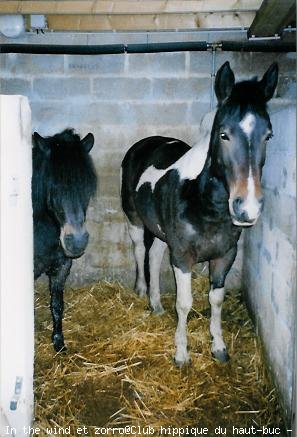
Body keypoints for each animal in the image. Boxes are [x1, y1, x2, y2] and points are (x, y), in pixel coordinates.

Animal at [32, 129, 97, 350]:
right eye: (54, 186)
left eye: (87, 186)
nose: (76, 241)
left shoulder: (62, 267)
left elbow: (57, 305)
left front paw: (58, 342)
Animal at [120, 61, 278, 364]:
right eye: (224, 134)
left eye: (268, 135)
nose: (248, 208)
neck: (206, 204)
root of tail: (144, 143)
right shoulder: (182, 256)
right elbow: (184, 303)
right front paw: (181, 353)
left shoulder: (225, 255)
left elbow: (216, 299)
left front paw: (219, 347)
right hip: (134, 219)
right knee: (139, 250)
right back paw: (142, 291)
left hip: (162, 233)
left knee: (154, 256)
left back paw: (156, 304)